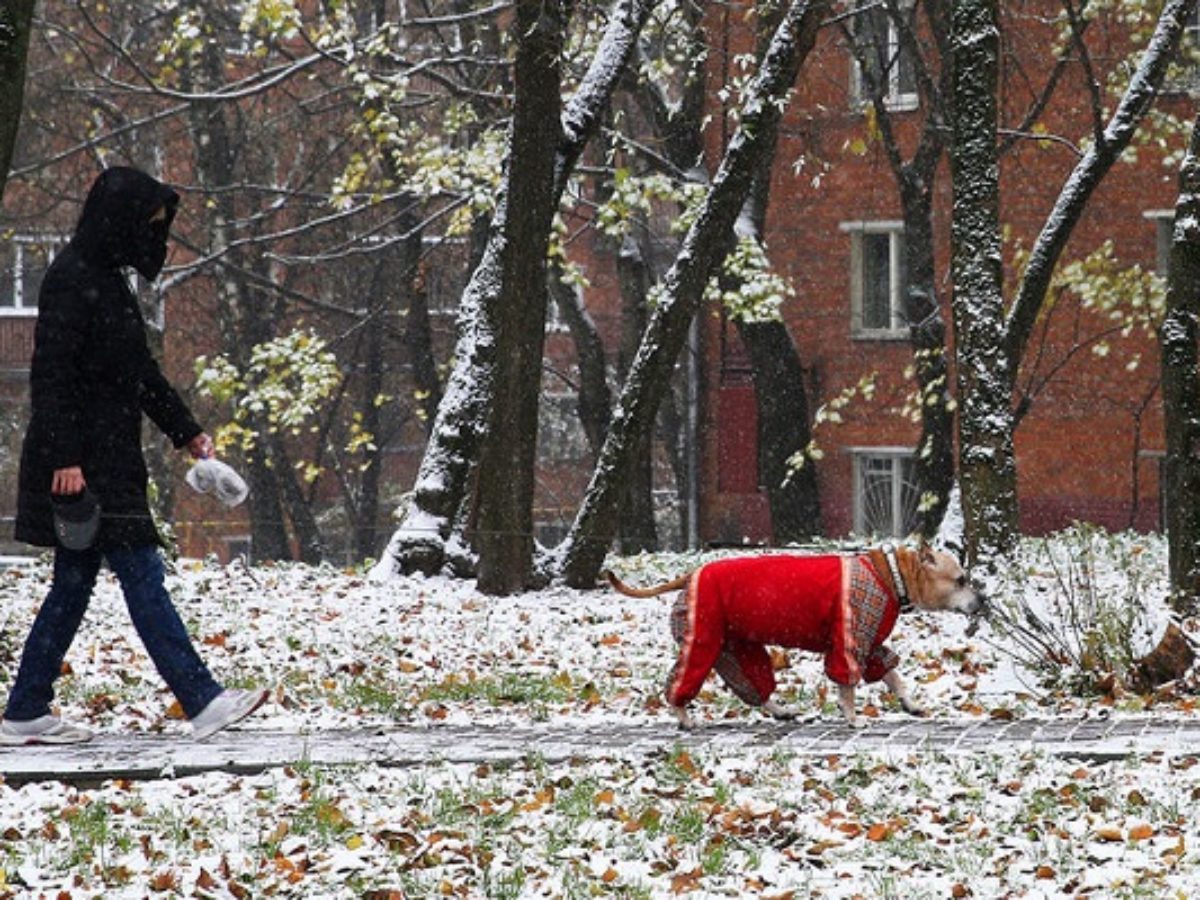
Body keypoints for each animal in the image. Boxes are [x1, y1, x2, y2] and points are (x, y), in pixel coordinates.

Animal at [609, 547, 984, 729]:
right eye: (961, 580)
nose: (982, 600)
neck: (892, 574)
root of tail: (690, 575)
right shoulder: (850, 643)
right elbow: (847, 685)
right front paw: (853, 718)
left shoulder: (871, 645)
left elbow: (891, 674)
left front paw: (911, 704)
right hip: (704, 640)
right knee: (683, 681)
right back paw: (684, 717)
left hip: (737, 647)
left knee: (753, 683)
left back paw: (780, 711)